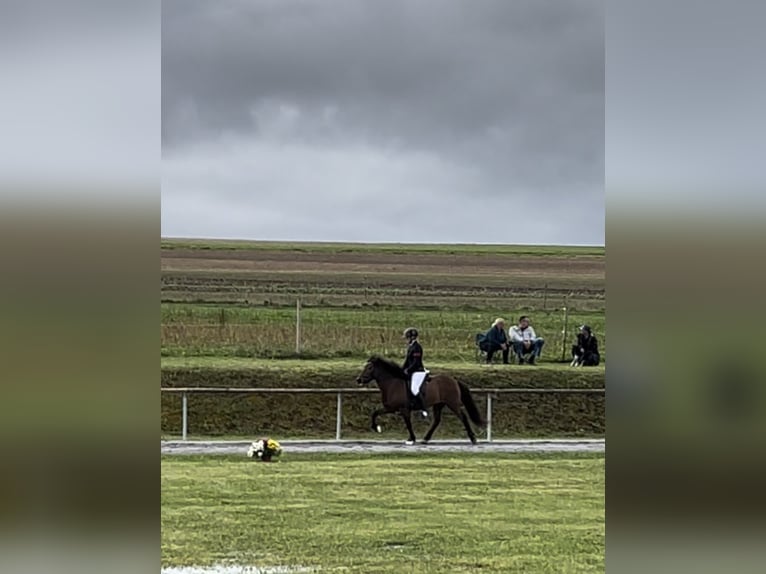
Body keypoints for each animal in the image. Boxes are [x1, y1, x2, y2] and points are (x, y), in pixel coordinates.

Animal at [356, 360, 486, 446]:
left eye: (369, 368)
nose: (358, 380)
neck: (392, 383)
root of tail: (454, 380)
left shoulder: (403, 409)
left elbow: (408, 424)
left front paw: (411, 439)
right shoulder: (391, 408)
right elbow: (375, 413)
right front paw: (376, 427)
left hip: (453, 403)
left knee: (463, 417)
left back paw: (473, 439)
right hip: (438, 405)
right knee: (437, 420)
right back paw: (425, 439)